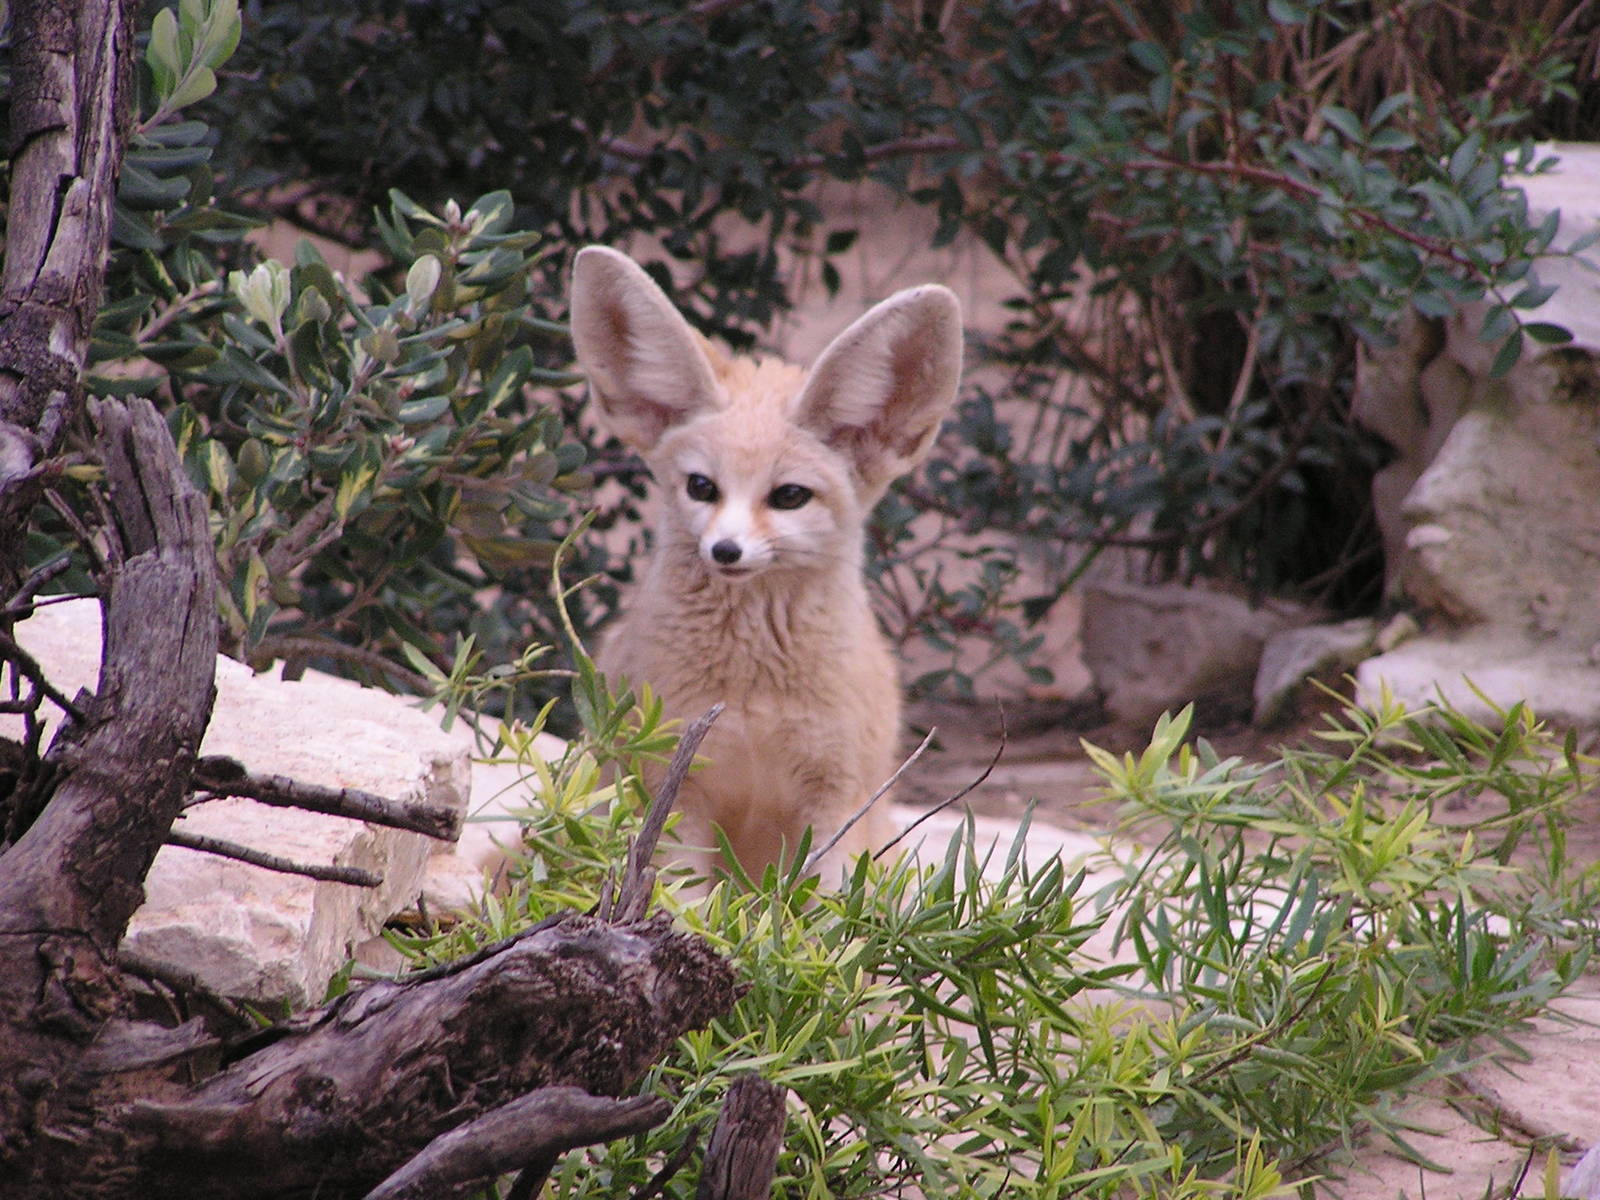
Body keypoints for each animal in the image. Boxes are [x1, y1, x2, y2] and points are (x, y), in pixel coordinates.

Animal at [569, 245, 963, 882]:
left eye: (789, 496)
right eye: (701, 487)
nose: (725, 550)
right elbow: (680, 897)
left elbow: (829, 908)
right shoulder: (677, 793)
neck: (754, 691)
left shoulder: (836, 802)